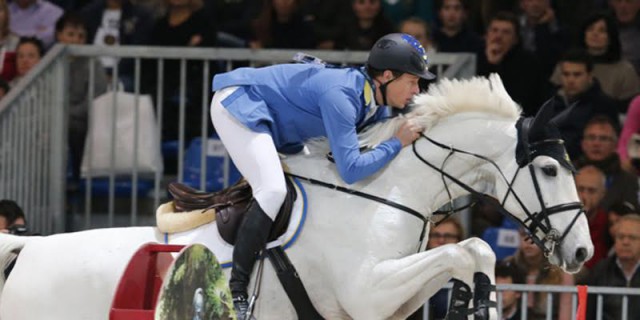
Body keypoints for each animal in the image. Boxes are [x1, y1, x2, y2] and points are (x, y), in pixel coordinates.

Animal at [0, 74, 596, 318]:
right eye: (548, 168)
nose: (583, 252)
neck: (384, 191)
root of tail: (28, 249)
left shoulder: (383, 302)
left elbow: (466, 255)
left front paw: (475, 297)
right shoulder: (367, 292)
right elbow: (470, 247)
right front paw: (480, 300)